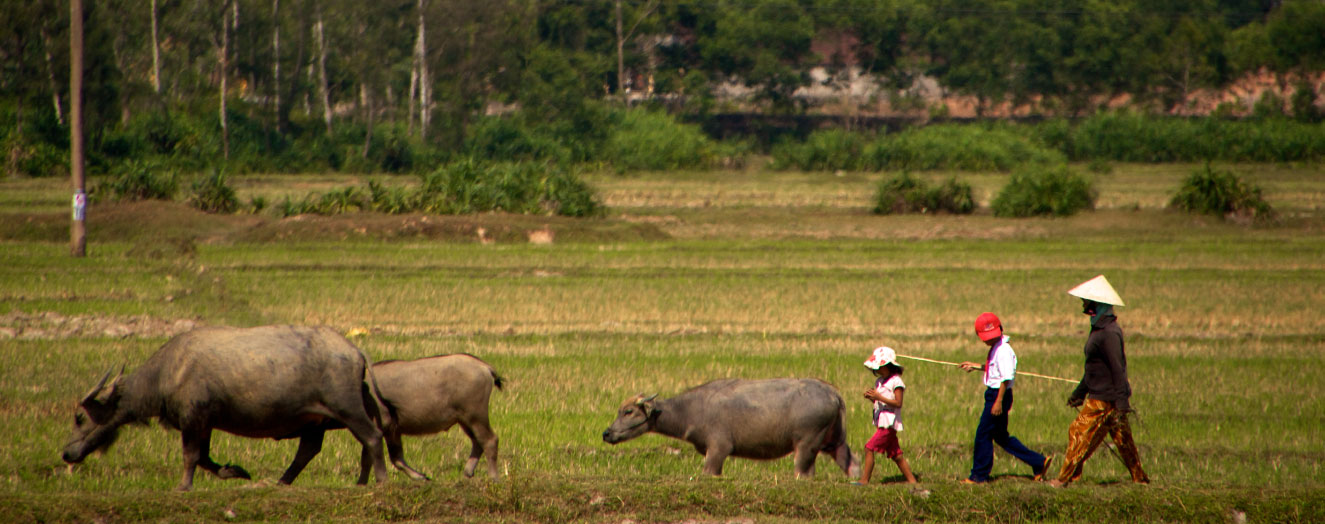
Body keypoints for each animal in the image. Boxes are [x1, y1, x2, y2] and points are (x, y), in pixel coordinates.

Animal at [61, 323, 389, 493]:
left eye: (79, 417)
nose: (67, 453)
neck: (168, 372)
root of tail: (354, 351)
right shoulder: (205, 424)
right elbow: (205, 459)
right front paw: (236, 472)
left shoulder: (193, 419)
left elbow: (191, 456)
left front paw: (183, 487)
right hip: (314, 420)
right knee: (308, 450)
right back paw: (282, 481)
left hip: (347, 409)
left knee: (372, 437)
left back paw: (378, 481)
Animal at [355, 355, 503, 482]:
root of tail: (485, 367)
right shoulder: (393, 431)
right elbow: (395, 458)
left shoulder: (381, 427)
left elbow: (371, 457)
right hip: (466, 421)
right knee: (478, 442)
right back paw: (468, 472)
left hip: (476, 417)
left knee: (490, 440)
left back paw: (493, 477)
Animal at [601, 376, 858, 480]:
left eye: (628, 411)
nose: (607, 433)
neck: (692, 409)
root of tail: (833, 393)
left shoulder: (718, 448)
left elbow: (709, 472)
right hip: (834, 440)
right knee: (850, 462)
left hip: (807, 444)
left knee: (804, 471)